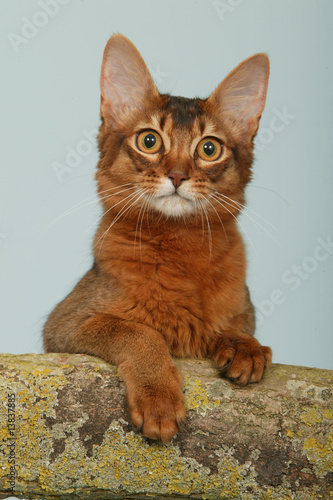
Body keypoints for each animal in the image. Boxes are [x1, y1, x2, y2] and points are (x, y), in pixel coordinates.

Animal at [43, 34, 270, 442]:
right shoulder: (64, 326)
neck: (180, 248)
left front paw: (243, 345)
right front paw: (159, 399)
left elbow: (237, 325)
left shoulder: (245, 308)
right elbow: (140, 332)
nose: (178, 176)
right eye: (149, 141)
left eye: (209, 148)